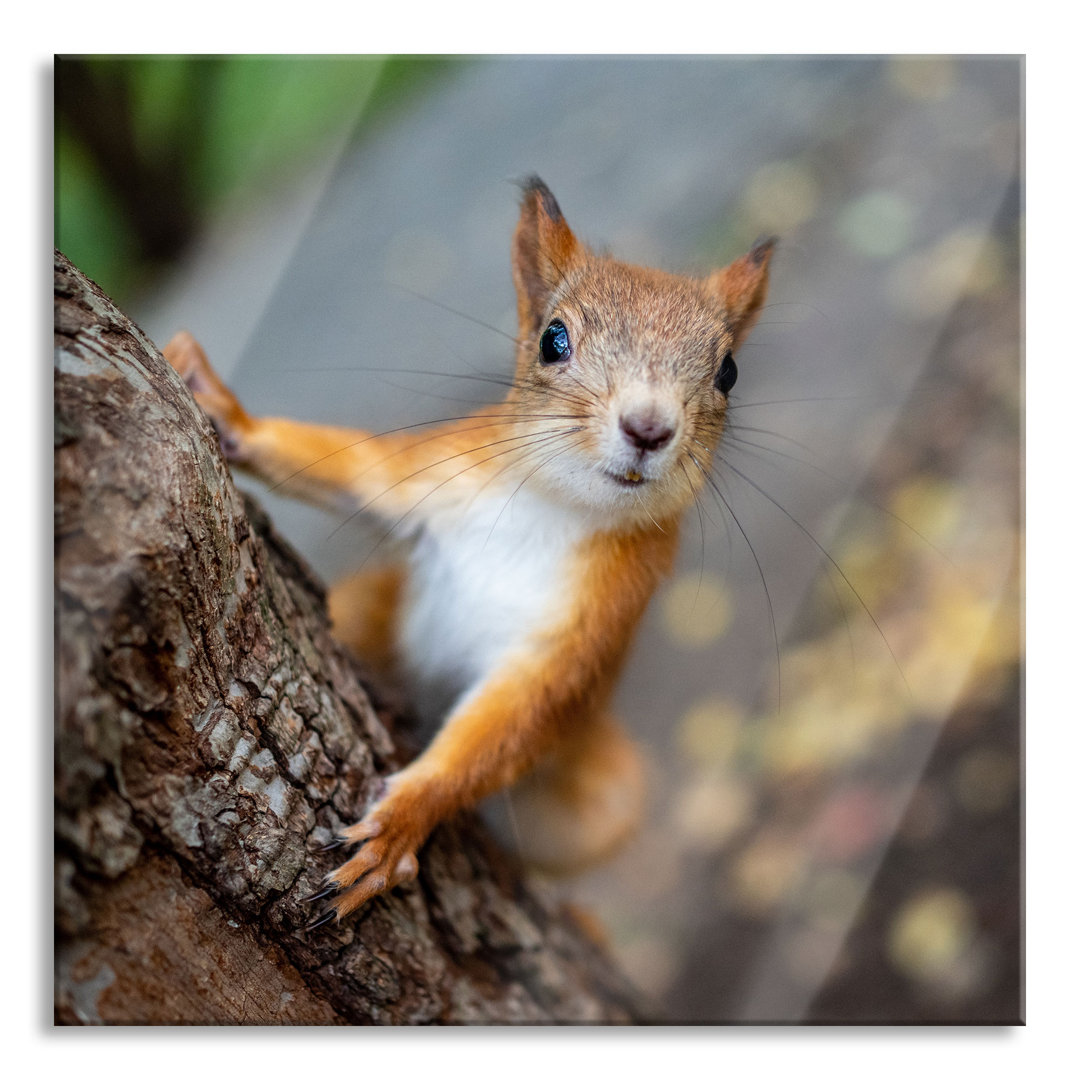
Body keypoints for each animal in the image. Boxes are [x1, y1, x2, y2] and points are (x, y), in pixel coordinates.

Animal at [162, 179, 777, 928]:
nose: (648, 427)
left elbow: (510, 721)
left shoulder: (594, 623)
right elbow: (352, 468)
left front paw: (402, 821)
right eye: (553, 339)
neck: (553, 508)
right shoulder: (437, 471)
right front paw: (224, 410)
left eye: (730, 371)